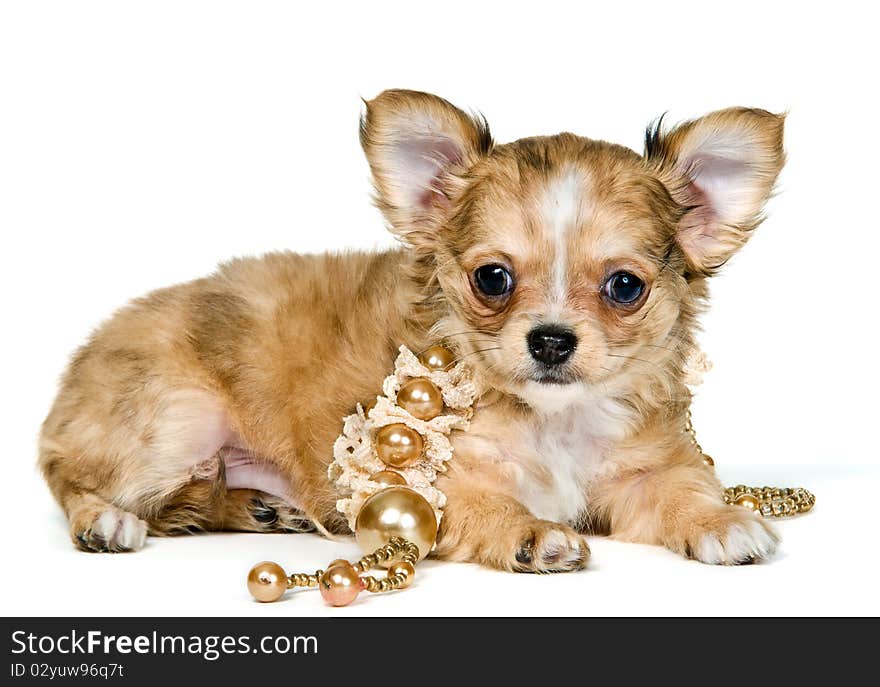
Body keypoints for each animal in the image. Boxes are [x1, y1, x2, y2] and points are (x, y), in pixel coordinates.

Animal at [39, 88, 784, 568]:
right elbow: (486, 508)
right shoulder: (423, 484)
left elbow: (679, 490)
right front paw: (533, 534)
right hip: (174, 420)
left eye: (625, 287)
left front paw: (720, 521)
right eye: (492, 279)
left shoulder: (637, 473)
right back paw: (106, 521)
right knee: (73, 479)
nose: (550, 339)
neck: (555, 422)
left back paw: (255, 507)